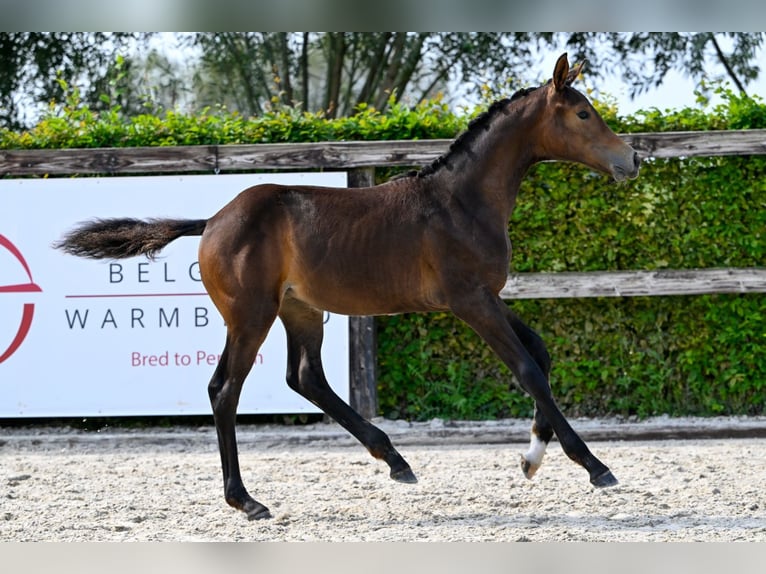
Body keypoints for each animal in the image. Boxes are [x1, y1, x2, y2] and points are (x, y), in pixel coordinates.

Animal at [55, 55, 640, 520]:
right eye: (583, 114)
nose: (632, 160)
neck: (460, 203)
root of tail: (214, 220)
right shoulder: (470, 301)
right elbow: (527, 370)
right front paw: (594, 466)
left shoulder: (489, 296)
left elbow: (540, 355)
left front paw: (531, 458)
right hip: (250, 316)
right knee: (225, 389)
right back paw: (246, 500)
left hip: (300, 311)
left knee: (305, 378)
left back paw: (395, 460)